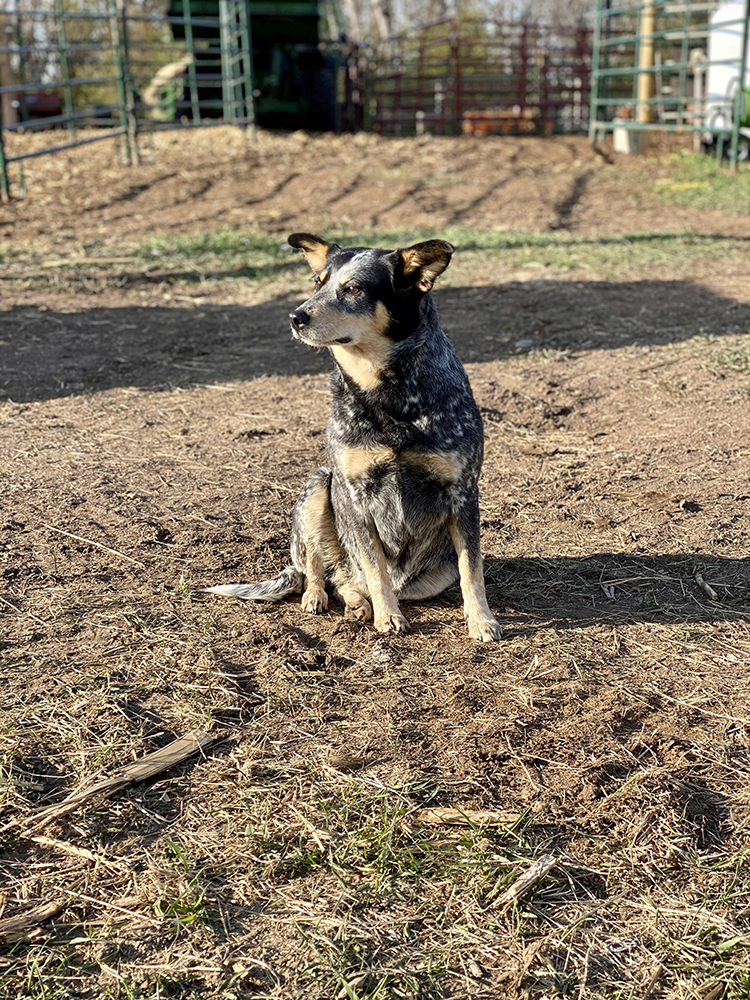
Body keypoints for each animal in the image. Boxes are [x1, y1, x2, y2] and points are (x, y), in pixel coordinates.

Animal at [204, 234, 506, 640]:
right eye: (317, 283)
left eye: (354, 288)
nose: (296, 317)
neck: (386, 393)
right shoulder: (355, 493)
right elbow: (375, 566)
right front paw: (387, 616)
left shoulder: (463, 492)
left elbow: (472, 569)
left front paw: (481, 620)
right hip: (317, 487)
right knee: (321, 573)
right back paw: (328, 599)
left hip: (433, 575)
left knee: (351, 582)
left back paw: (358, 605)